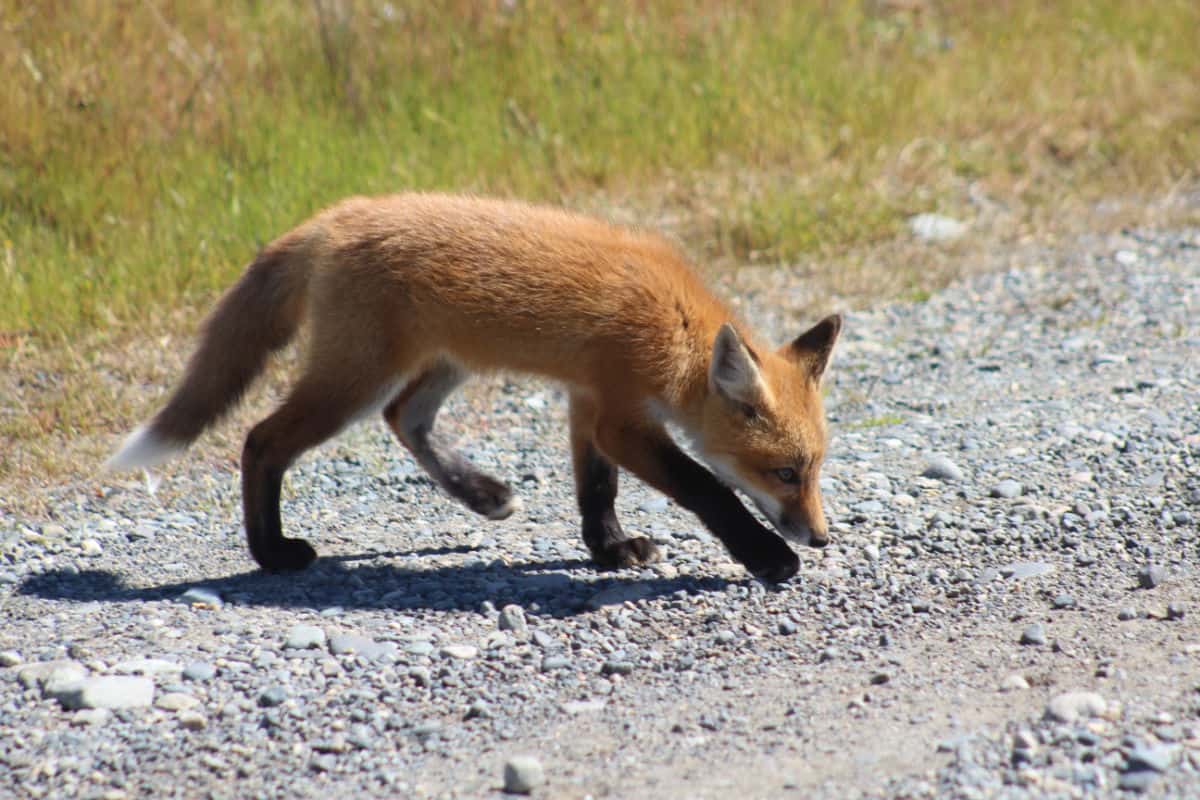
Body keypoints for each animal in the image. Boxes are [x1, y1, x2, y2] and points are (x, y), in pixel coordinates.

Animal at [112, 194, 844, 582]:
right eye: (785, 473)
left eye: (815, 470)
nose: (821, 539)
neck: (677, 326)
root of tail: (333, 215)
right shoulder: (621, 416)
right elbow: (707, 487)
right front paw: (767, 556)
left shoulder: (590, 399)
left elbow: (596, 489)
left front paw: (609, 549)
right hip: (353, 381)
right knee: (262, 441)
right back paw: (271, 553)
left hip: (441, 365)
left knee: (404, 418)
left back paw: (481, 494)